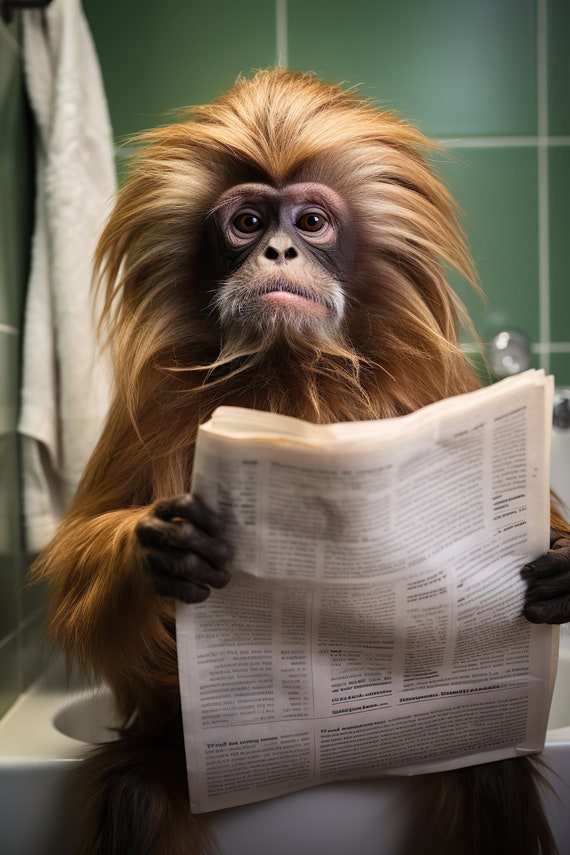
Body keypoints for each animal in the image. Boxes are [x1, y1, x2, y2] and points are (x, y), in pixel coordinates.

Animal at [32, 69, 570, 855]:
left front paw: (562, 570)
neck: (288, 369)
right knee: (135, 794)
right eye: (249, 223)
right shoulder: (151, 399)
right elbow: (81, 563)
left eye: (310, 222)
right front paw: (162, 551)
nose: (280, 253)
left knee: (487, 766)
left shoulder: (432, 384)